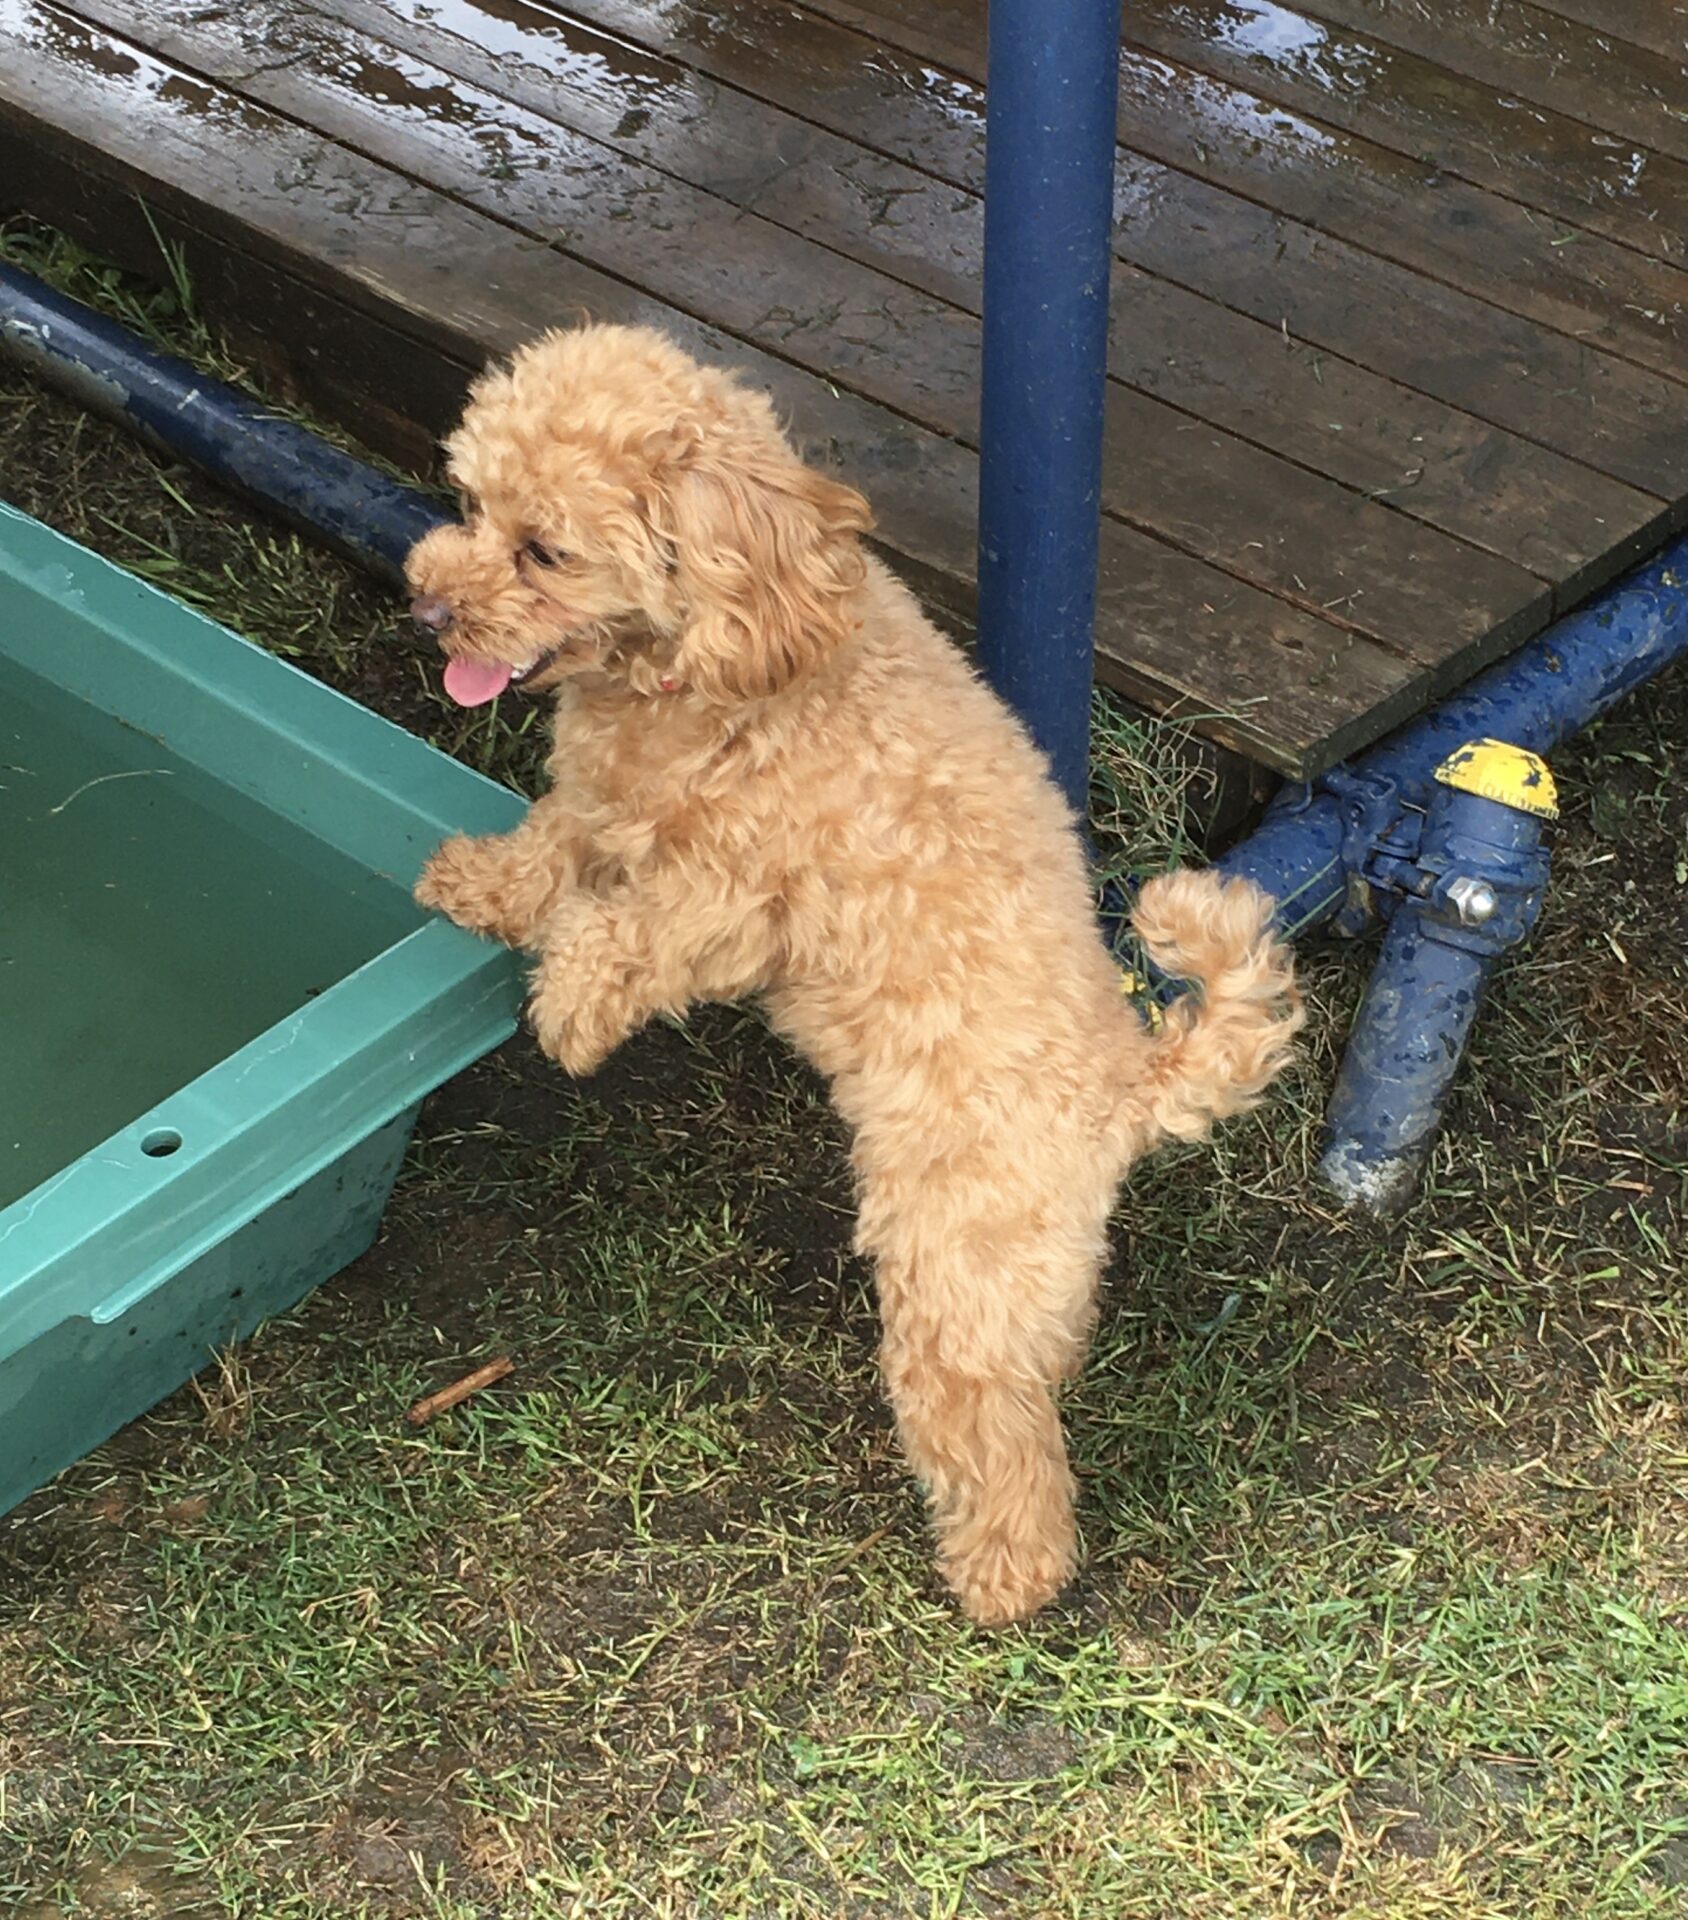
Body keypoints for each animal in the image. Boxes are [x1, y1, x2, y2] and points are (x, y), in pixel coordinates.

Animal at [405, 324, 1301, 1625]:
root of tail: (1130, 1079)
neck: (722, 659)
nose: (426, 608)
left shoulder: (738, 900)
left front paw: (567, 1014)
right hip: (1023, 1264)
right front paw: (472, 885)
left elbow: (628, 935)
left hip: (951, 1260)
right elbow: (547, 847)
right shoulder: (598, 802)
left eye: (543, 550)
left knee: (994, 1435)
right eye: (468, 504)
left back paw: (1003, 1579)